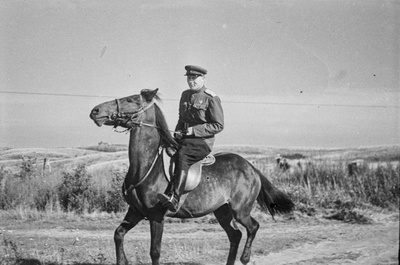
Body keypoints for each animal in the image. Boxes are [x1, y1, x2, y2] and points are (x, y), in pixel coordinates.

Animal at [90, 88, 294, 264]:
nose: (95, 110)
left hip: (240, 210)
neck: (145, 166)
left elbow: (155, 252)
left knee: (253, 227)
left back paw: (245, 258)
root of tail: (251, 167)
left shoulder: (156, 216)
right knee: (235, 235)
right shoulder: (136, 211)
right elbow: (118, 234)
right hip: (222, 211)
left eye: (131, 100)